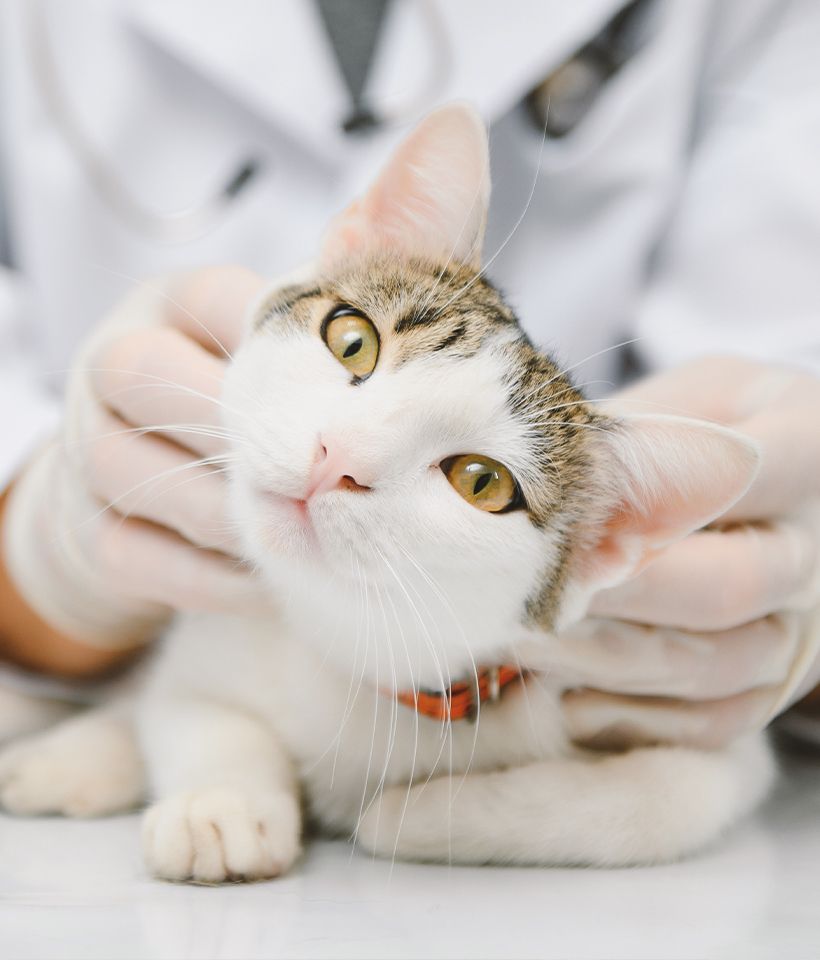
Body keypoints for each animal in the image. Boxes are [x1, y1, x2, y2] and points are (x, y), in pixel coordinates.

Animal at [0, 103, 776, 876]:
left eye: (482, 482)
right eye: (353, 340)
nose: (335, 458)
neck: (357, 651)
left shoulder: (716, 752)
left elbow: (646, 804)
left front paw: (424, 813)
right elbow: (195, 708)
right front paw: (221, 803)